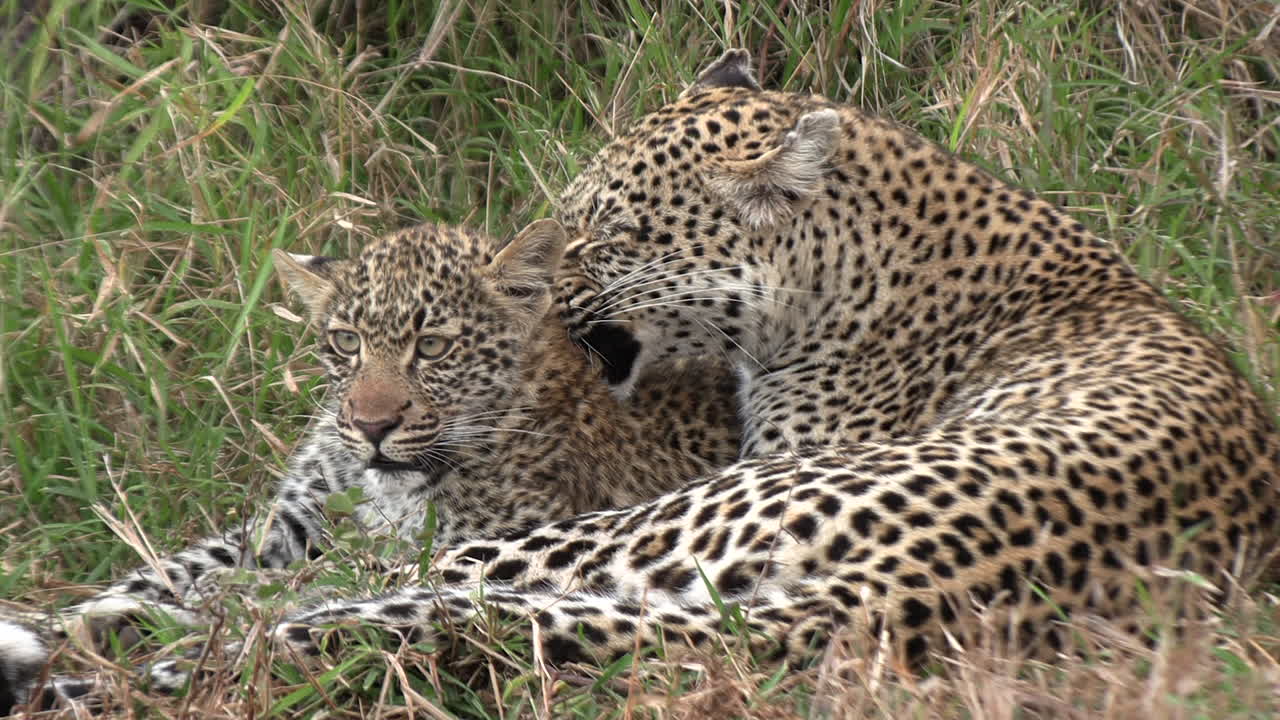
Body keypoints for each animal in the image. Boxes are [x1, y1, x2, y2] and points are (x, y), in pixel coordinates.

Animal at [0, 219, 741, 714]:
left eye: (433, 347)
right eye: (346, 342)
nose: (371, 424)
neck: (379, 486)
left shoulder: (476, 536)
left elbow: (326, 575)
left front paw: (192, 605)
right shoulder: (289, 522)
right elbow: (169, 567)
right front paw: (69, 617)